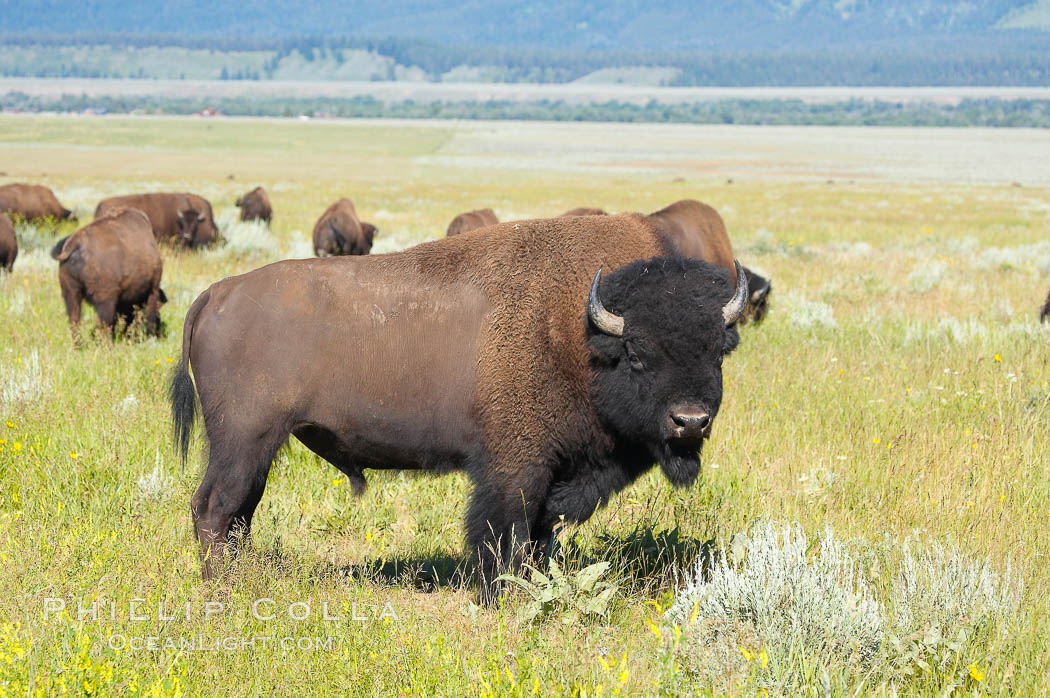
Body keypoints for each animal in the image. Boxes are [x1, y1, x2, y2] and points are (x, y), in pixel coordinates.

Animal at [50, 206, 165, 340]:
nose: (159, 330)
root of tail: (74, 243)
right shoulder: (152, 288)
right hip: (104, 298)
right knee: (102, 325)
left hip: (70, 293)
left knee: (75, 322)